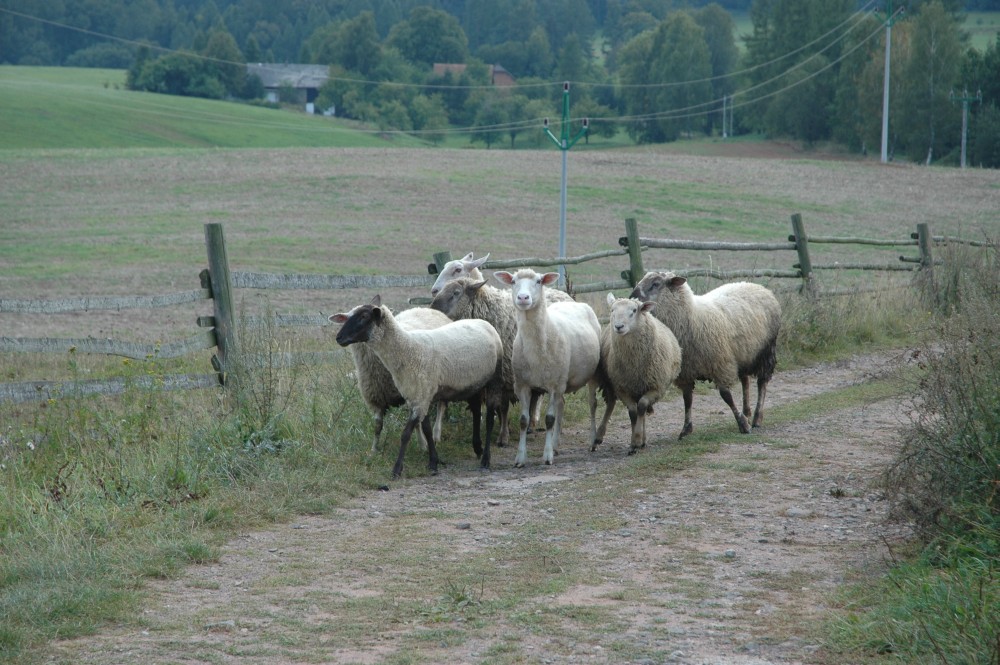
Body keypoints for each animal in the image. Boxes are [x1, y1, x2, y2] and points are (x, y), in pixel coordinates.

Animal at [330, 304, 452, 452]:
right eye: (346, 318)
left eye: (364, 316)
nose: (339, 337)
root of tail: (426, 308)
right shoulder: (376, 398)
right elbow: (377, 426)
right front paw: (374, 450)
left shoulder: (412, 393)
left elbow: (417, 423)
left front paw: (423, 444)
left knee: (441, 405)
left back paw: (436, 434)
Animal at [494, 268, 600, 466]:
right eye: (513, 281)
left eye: (538, 281)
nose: (523, 298)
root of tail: (573, 302)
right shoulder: (522, 385)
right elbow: (523, 420)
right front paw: (520, 458)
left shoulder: (553, 385)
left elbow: (549, 420)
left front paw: (547, 455)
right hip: (561, 380)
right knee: (561, 404)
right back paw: (556, 445)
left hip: (589, 374)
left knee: (592, 404)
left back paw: (592, 441)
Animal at [596, 294, 684, 454]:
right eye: (612, 310)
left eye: (634, 310)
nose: (618, 327)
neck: (634, 365)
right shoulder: (622, 387)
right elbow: (632, 412)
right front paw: (634, 443)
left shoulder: (656, 387)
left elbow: (642, 406)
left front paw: (637, 439)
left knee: (641, 408)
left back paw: (642, 440)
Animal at [632, 270, 780, 436]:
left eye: (656, 284)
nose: (632, 297)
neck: (691, 317)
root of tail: (758, 286)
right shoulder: (686, 372)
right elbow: (687, 399)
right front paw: (686, 428)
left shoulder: (720, 364)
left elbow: (726, 395)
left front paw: (742, 424)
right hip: (743, 353)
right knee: (745, 380)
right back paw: (746, 412)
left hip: (766, 350)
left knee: (762, 382)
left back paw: (756, 417)